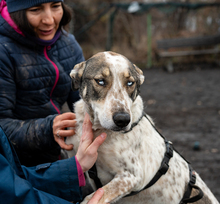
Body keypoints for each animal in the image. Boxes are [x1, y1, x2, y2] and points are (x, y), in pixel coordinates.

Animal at [65, 51, 218, 203]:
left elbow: (93, 197)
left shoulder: (131, 177)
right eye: (100, 81)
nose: (123, 120)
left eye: (130, 83)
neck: (98, 130)